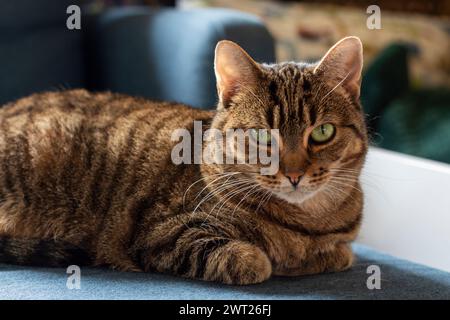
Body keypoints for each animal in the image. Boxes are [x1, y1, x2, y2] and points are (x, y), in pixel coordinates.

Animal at [0, 37, 366, 284]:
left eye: (322, 132)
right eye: (262, 136)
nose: (294, 174)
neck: (307, 222)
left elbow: (337, 253)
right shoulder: (163, 233)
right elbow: (249, 257)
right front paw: (274, 259)